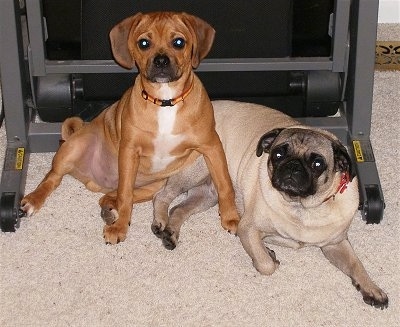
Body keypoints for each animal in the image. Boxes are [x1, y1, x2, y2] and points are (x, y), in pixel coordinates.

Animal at [20, 12, 239, 243]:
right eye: (144, 43)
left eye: (179, 42)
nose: (161, 61)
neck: (166, 101)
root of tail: (95, 181)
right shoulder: (129, 150)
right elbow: (125, 195)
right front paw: (120, 228)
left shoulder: (211, 146)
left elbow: (225, 184)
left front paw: (231, 216)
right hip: (74, 148)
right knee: (53, 178)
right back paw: (34, 200)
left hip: (156, 185)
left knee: (111, 196)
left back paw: (110, 209)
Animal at [153, 100, 388, 310]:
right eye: (278, 154)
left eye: (317, 163)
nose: (293, 166)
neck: (302, 208)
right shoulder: (247, 228)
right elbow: (266, 265)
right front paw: (268, 255)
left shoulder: (335, 244)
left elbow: (356, 264)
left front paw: (371, 288)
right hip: (196, 169)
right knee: (162, 196)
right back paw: (160, 222)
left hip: (209, 193)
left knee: (179, 208)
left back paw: (171, 233)